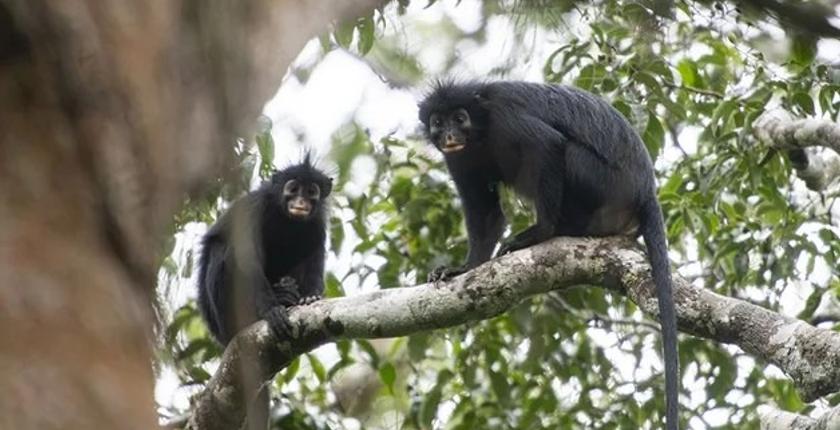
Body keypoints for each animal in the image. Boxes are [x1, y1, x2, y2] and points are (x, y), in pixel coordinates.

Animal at [197, 155, 332, 347]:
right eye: (293, 189)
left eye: (311, 192)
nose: (300, 202)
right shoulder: (254, 208)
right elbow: (247, 259)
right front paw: (271, 310)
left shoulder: (317, 223)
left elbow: (314, 257)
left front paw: (311, 296)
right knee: (220, 249)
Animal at [418, 80, 679, 429]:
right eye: (438, 122)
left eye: (460, 118)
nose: (449, 135)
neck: (481, 130)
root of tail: (645, 190)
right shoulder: (460, 159)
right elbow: (485, 213)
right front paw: (464, 268)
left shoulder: (505, 117)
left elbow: (547, 145)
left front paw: (541, 232)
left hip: (603, 182)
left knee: (567, 151)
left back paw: (558, 229)